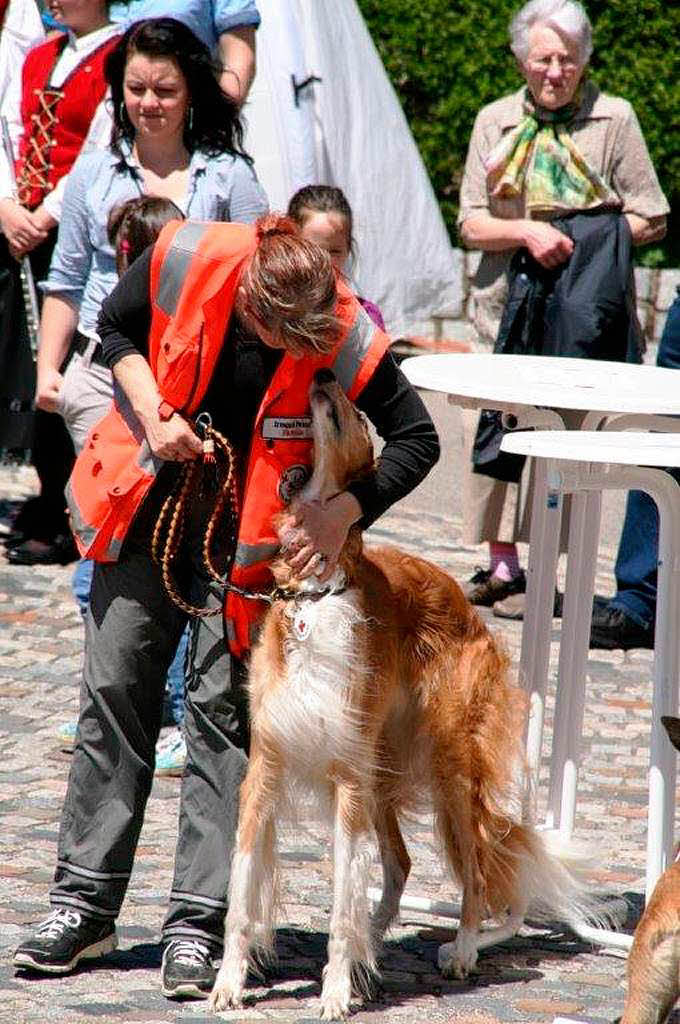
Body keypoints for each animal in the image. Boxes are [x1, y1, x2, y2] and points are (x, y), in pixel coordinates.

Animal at [210, 368, 602, 1015]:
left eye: (355, 411)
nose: (325, 373)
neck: (313, 597)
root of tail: (465, 605)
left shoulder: (347, 778)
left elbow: (341, 898)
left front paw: (335, 992)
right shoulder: (266, 768)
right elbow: (244, 890)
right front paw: (227, 983)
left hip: (447, 770)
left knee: (471, 873)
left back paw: (462, 950)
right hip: (384, 768)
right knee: (399, 862)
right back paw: (375, 936)